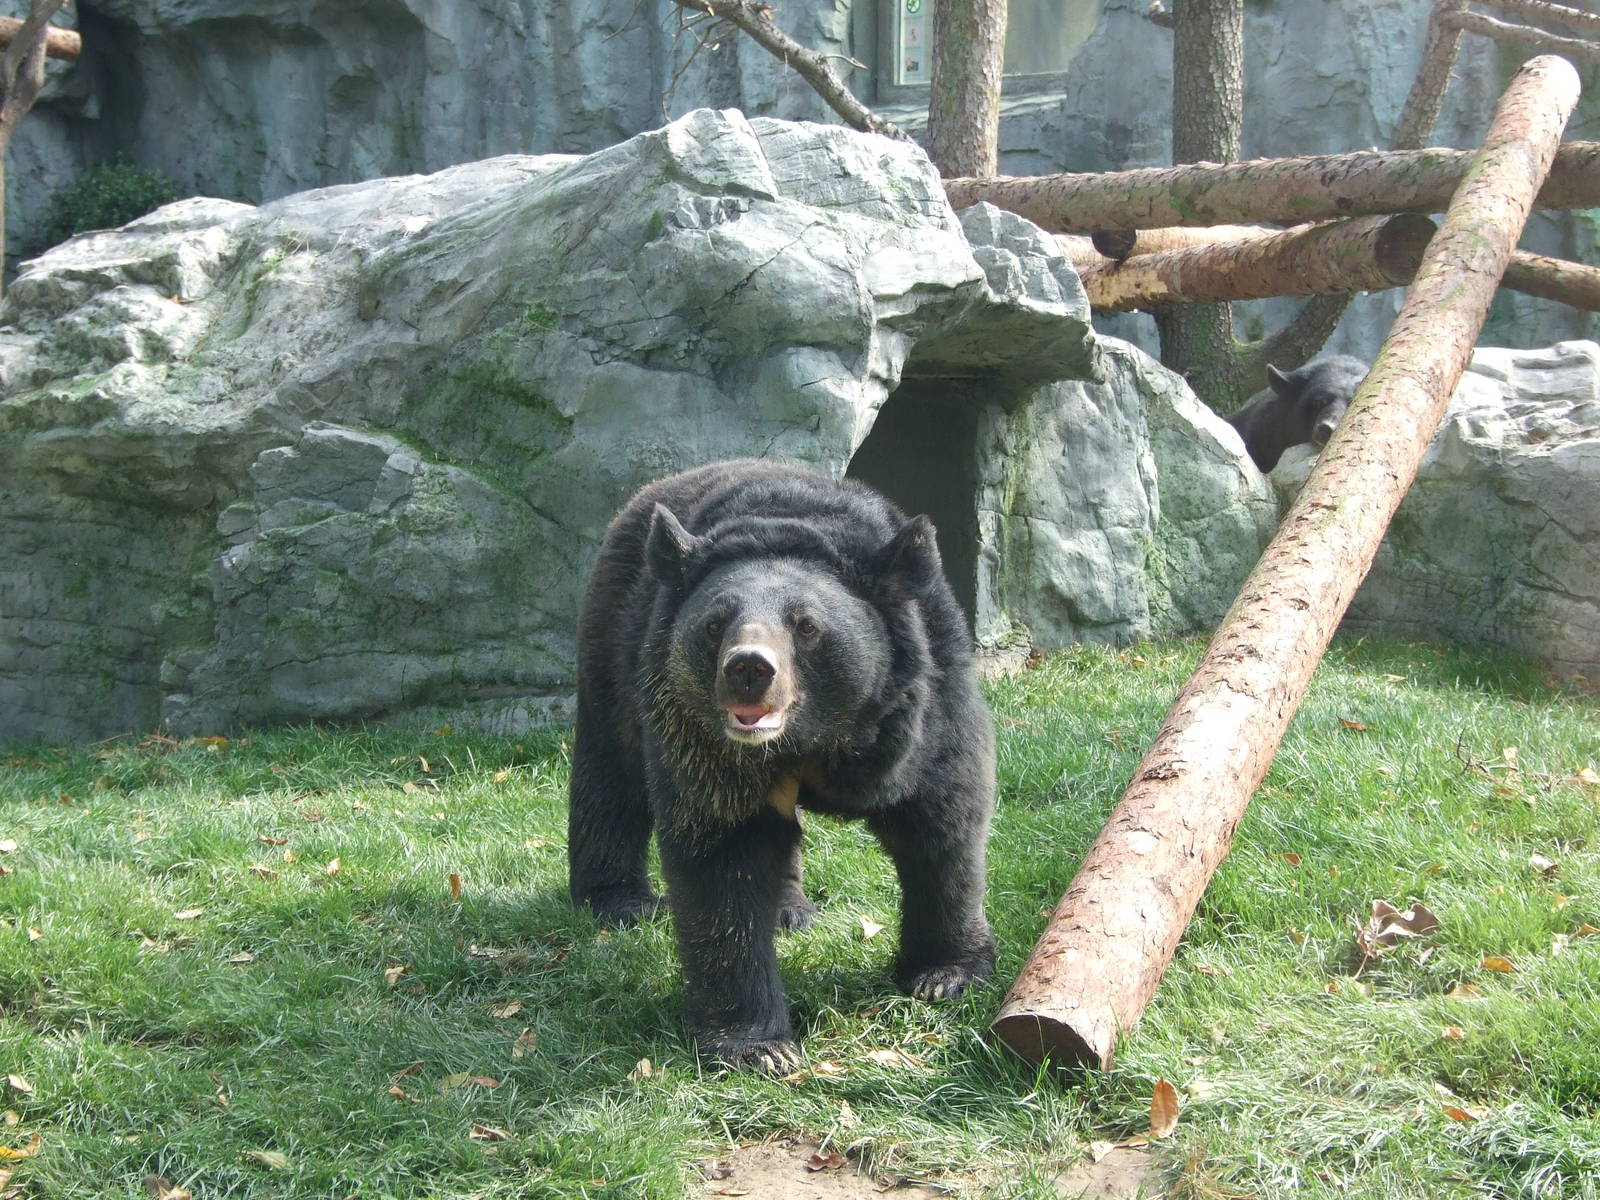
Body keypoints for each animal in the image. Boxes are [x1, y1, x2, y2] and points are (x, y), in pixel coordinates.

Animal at [567, 459, 997, 1073]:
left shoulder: (928, 700)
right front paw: (757, 1045)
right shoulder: (701, 739)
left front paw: (944, 974)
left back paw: (790, 910)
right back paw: (620, 900)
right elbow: (724, 854)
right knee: (610, 771)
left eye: (806, 625)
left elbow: (942, 818)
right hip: (615, 644)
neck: (813, 740)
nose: (749, 669)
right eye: (715, 623)